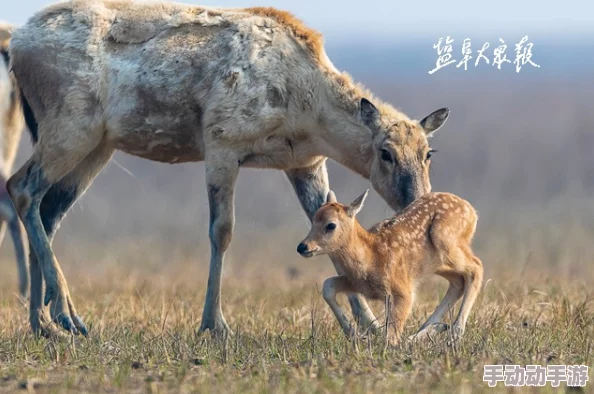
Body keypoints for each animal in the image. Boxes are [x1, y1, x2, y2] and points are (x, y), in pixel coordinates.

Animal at [9, 1, 446, 338]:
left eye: (428, 152)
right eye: (385, 152)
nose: (419, 200)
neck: (308, 99)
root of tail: (16, 44)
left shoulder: (305, 164)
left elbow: (332, 223)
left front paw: (369, 325)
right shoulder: (222, 146)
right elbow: (221, 232)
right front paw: (214, 324)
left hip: (97, 147)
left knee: (48, 212)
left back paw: (43, 323)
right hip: (70, 132)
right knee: (21, 188)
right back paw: (66, 315)